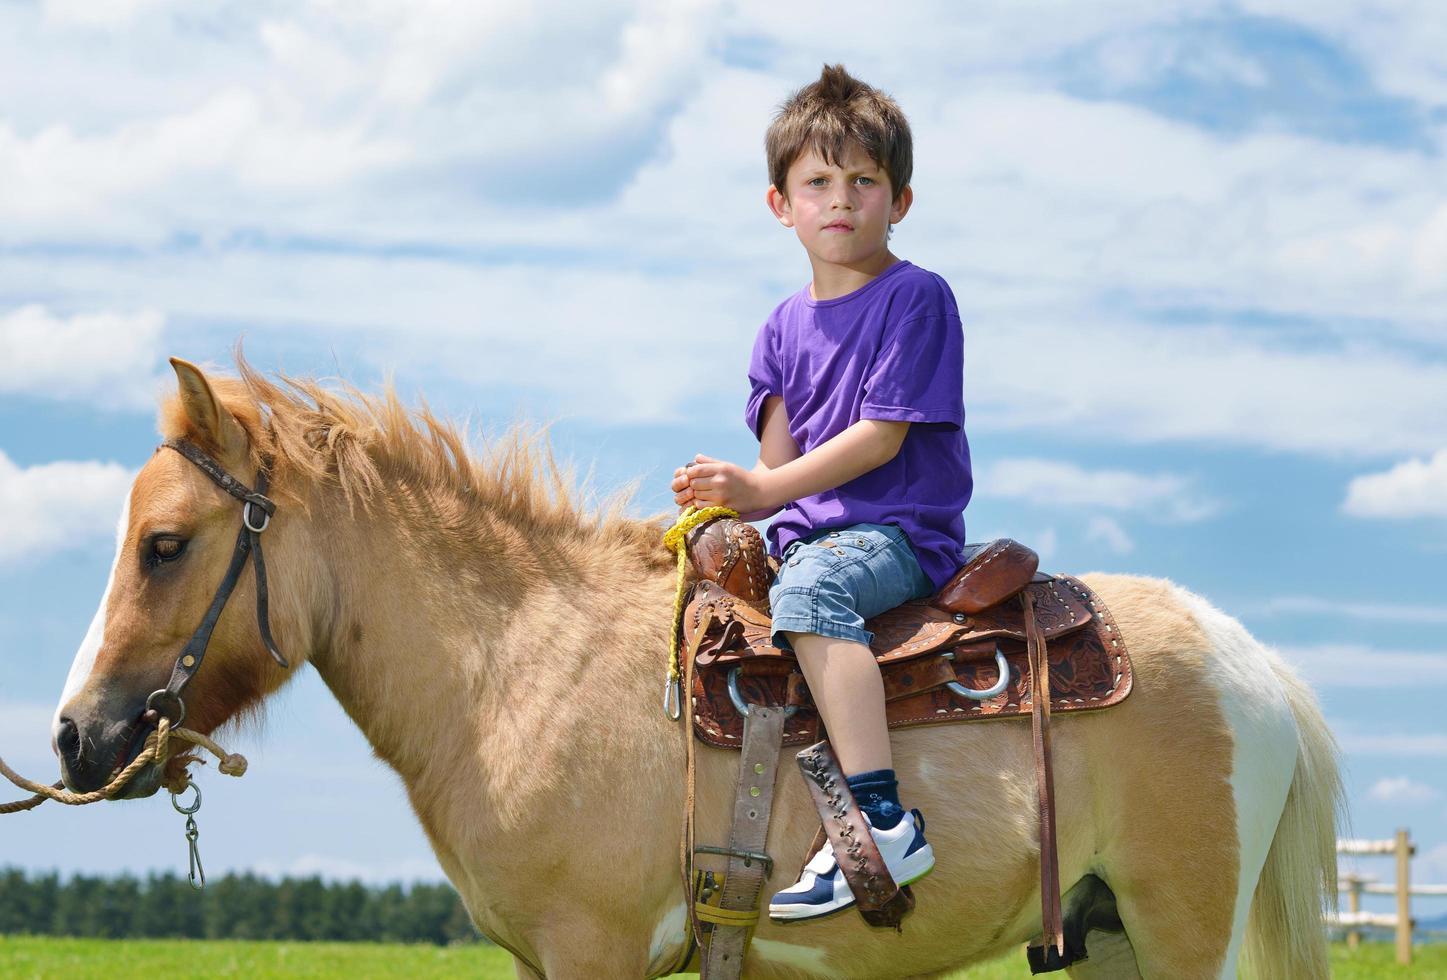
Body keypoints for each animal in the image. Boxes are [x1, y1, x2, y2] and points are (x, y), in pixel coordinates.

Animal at [53, 356, 1342, 972]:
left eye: (164, 544)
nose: (72, 735)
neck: (516, 663)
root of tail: (1252, 663)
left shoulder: (594, 950)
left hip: (1179, 932)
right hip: (1105, 934)